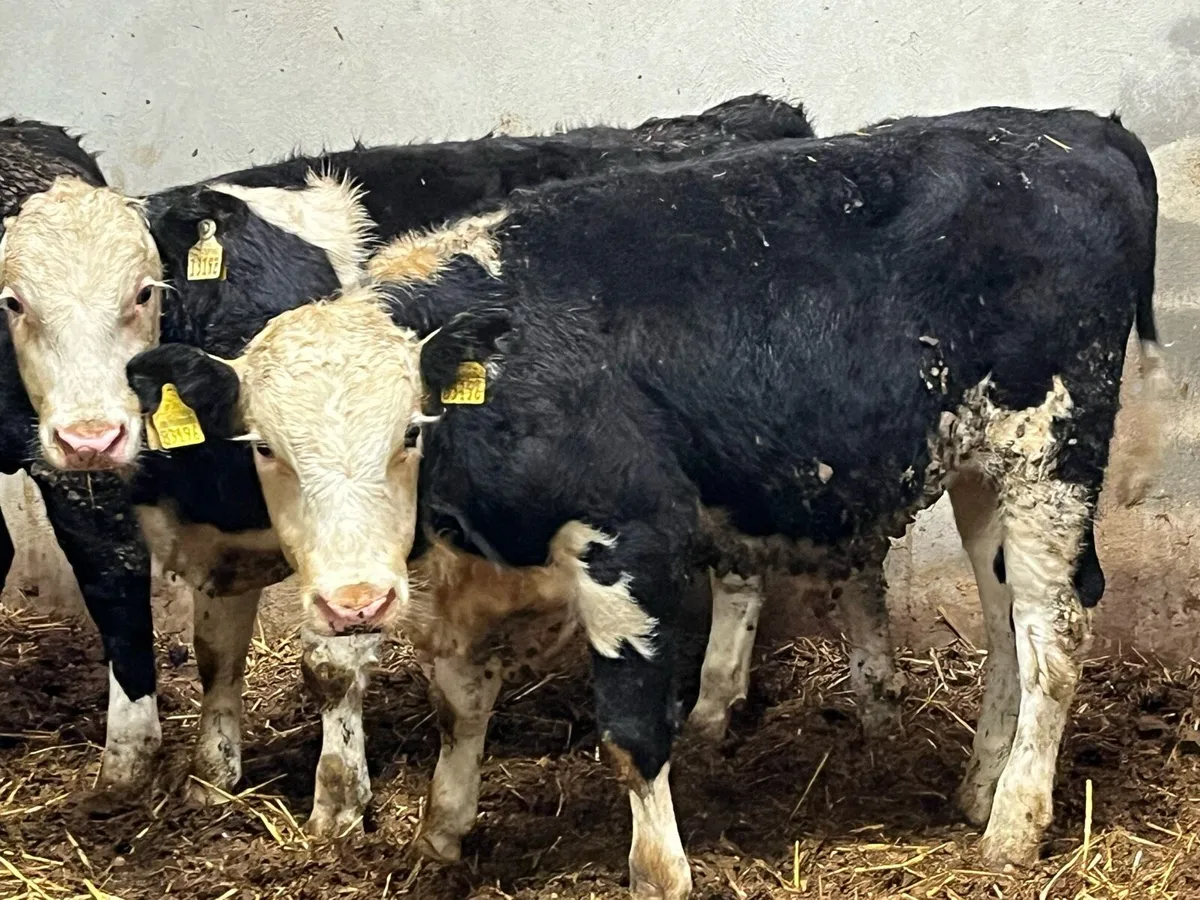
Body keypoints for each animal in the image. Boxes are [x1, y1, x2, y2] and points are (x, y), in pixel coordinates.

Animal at [0, 95, 821, 812]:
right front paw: (198, 776)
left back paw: (712, 705)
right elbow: (206, 648)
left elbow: (327, 663)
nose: (90, 436)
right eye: (12, 302)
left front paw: (337, 806)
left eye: (144, 290)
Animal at [128, 105, 1163, 898]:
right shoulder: (457, 583)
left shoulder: (630, 543)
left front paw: (660, 869)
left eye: (410, 433)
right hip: (986, 466)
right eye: (266, 447)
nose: (355, 602)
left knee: (1057, 630)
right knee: (1007, 621)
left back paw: (1014, 826)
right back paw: (980, 788)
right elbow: (462, 707)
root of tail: (1071, 128)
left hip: (1054, 447)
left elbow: (631, 733)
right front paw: (443, 831)